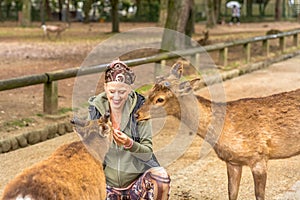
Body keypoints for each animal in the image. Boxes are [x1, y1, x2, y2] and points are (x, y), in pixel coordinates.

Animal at [137, 61, 300, 200]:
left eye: (160, 99)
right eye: (150, 91)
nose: (137, 114)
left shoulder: (259, 157)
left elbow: (259, 195)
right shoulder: (232, 161)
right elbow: (232, 193)